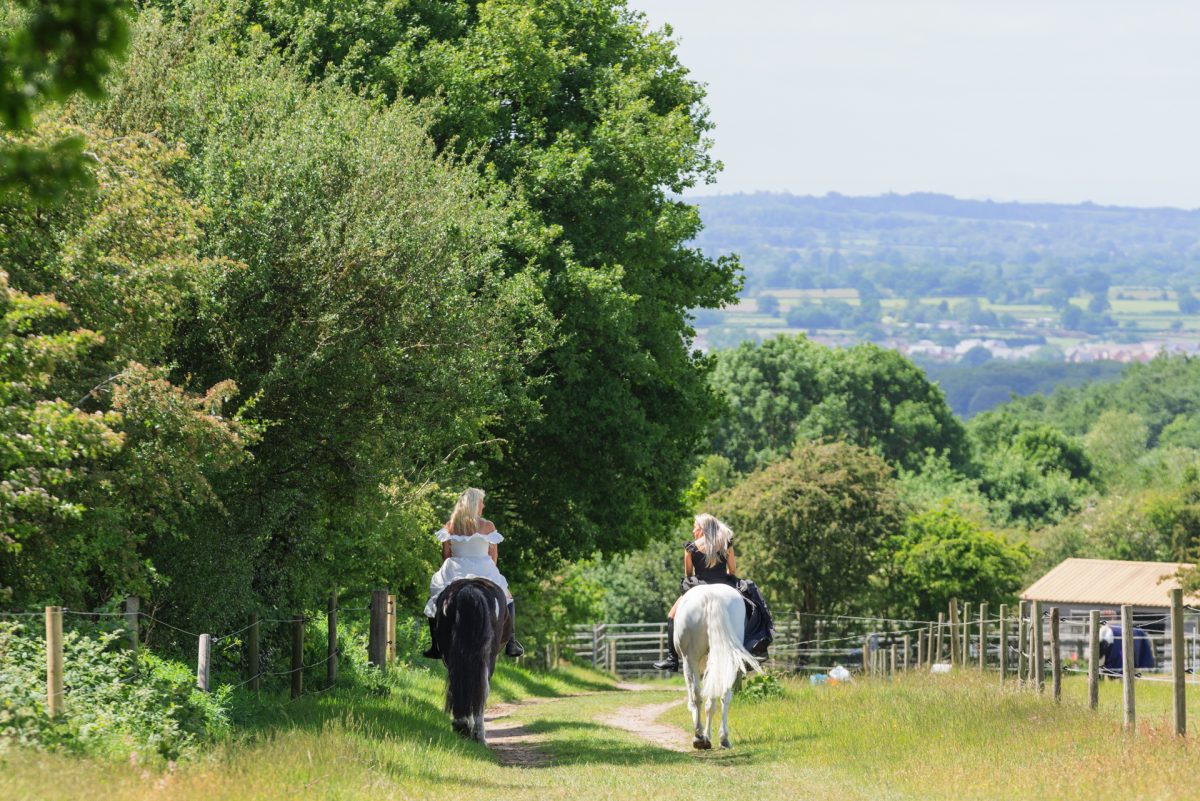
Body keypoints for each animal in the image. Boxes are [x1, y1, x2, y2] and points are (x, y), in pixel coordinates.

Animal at [432, 577, 511, 743]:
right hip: (489, 657)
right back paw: (478, 733)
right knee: (482, 687)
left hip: (451, 651)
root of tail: (470, 588)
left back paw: (462, 725)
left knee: (458, 680)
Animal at [675, 583, 763, 750]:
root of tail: (711, 596)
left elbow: (697, 698)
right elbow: (712, 701)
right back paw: (723, 738)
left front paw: (703, 734)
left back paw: (699, 736)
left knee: (696, 695)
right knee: (725, 695)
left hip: (691, 659)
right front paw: (709, 736)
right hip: (727, 658)